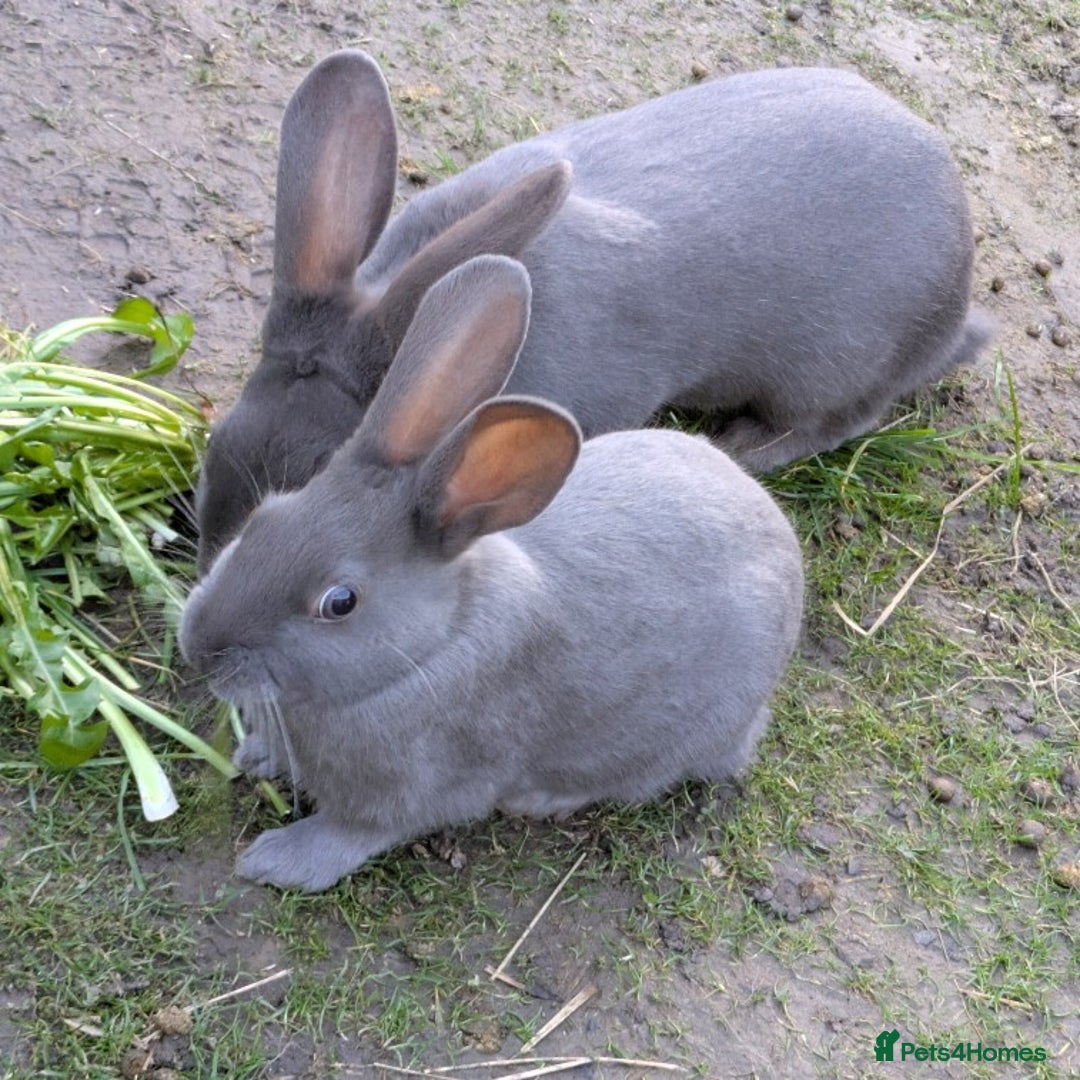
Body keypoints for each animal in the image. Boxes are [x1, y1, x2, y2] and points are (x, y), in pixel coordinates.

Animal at [180, 254, 805, 893]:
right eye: (265, 515)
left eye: (340, 602)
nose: (198, 649)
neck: (429, 645)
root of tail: (786, 552)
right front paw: (255, 757)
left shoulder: (404, 793)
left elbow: (352, 832)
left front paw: (274, 861)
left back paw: (545, 799)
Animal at [194, 49, 991, 573]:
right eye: (217, 443)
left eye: (311, 480)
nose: (210, 562)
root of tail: (955, 314)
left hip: (827, 372)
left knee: (833, 422)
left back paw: (744, 444)